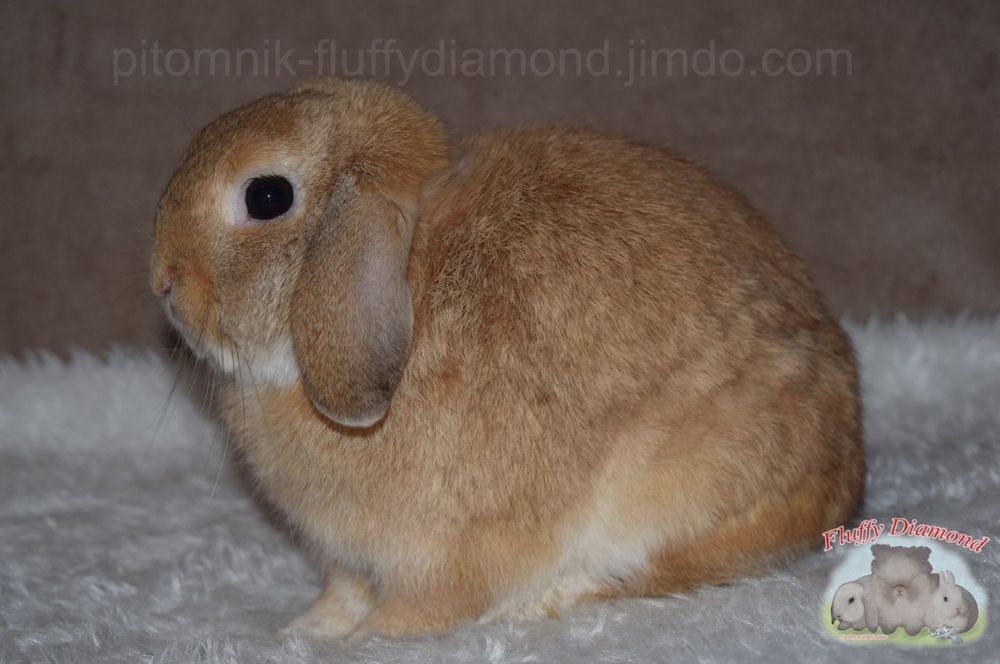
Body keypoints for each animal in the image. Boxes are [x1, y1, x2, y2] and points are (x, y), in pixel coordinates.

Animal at [149, 77, 865, 638]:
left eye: (266, 197)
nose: (161, 281)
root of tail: (840, 483)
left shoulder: (443, 553)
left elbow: (424, 607)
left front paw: (371, 638)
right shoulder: (348, 561)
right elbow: (342, 593)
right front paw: (307, 631)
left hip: (684, 488)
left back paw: (542, 602)